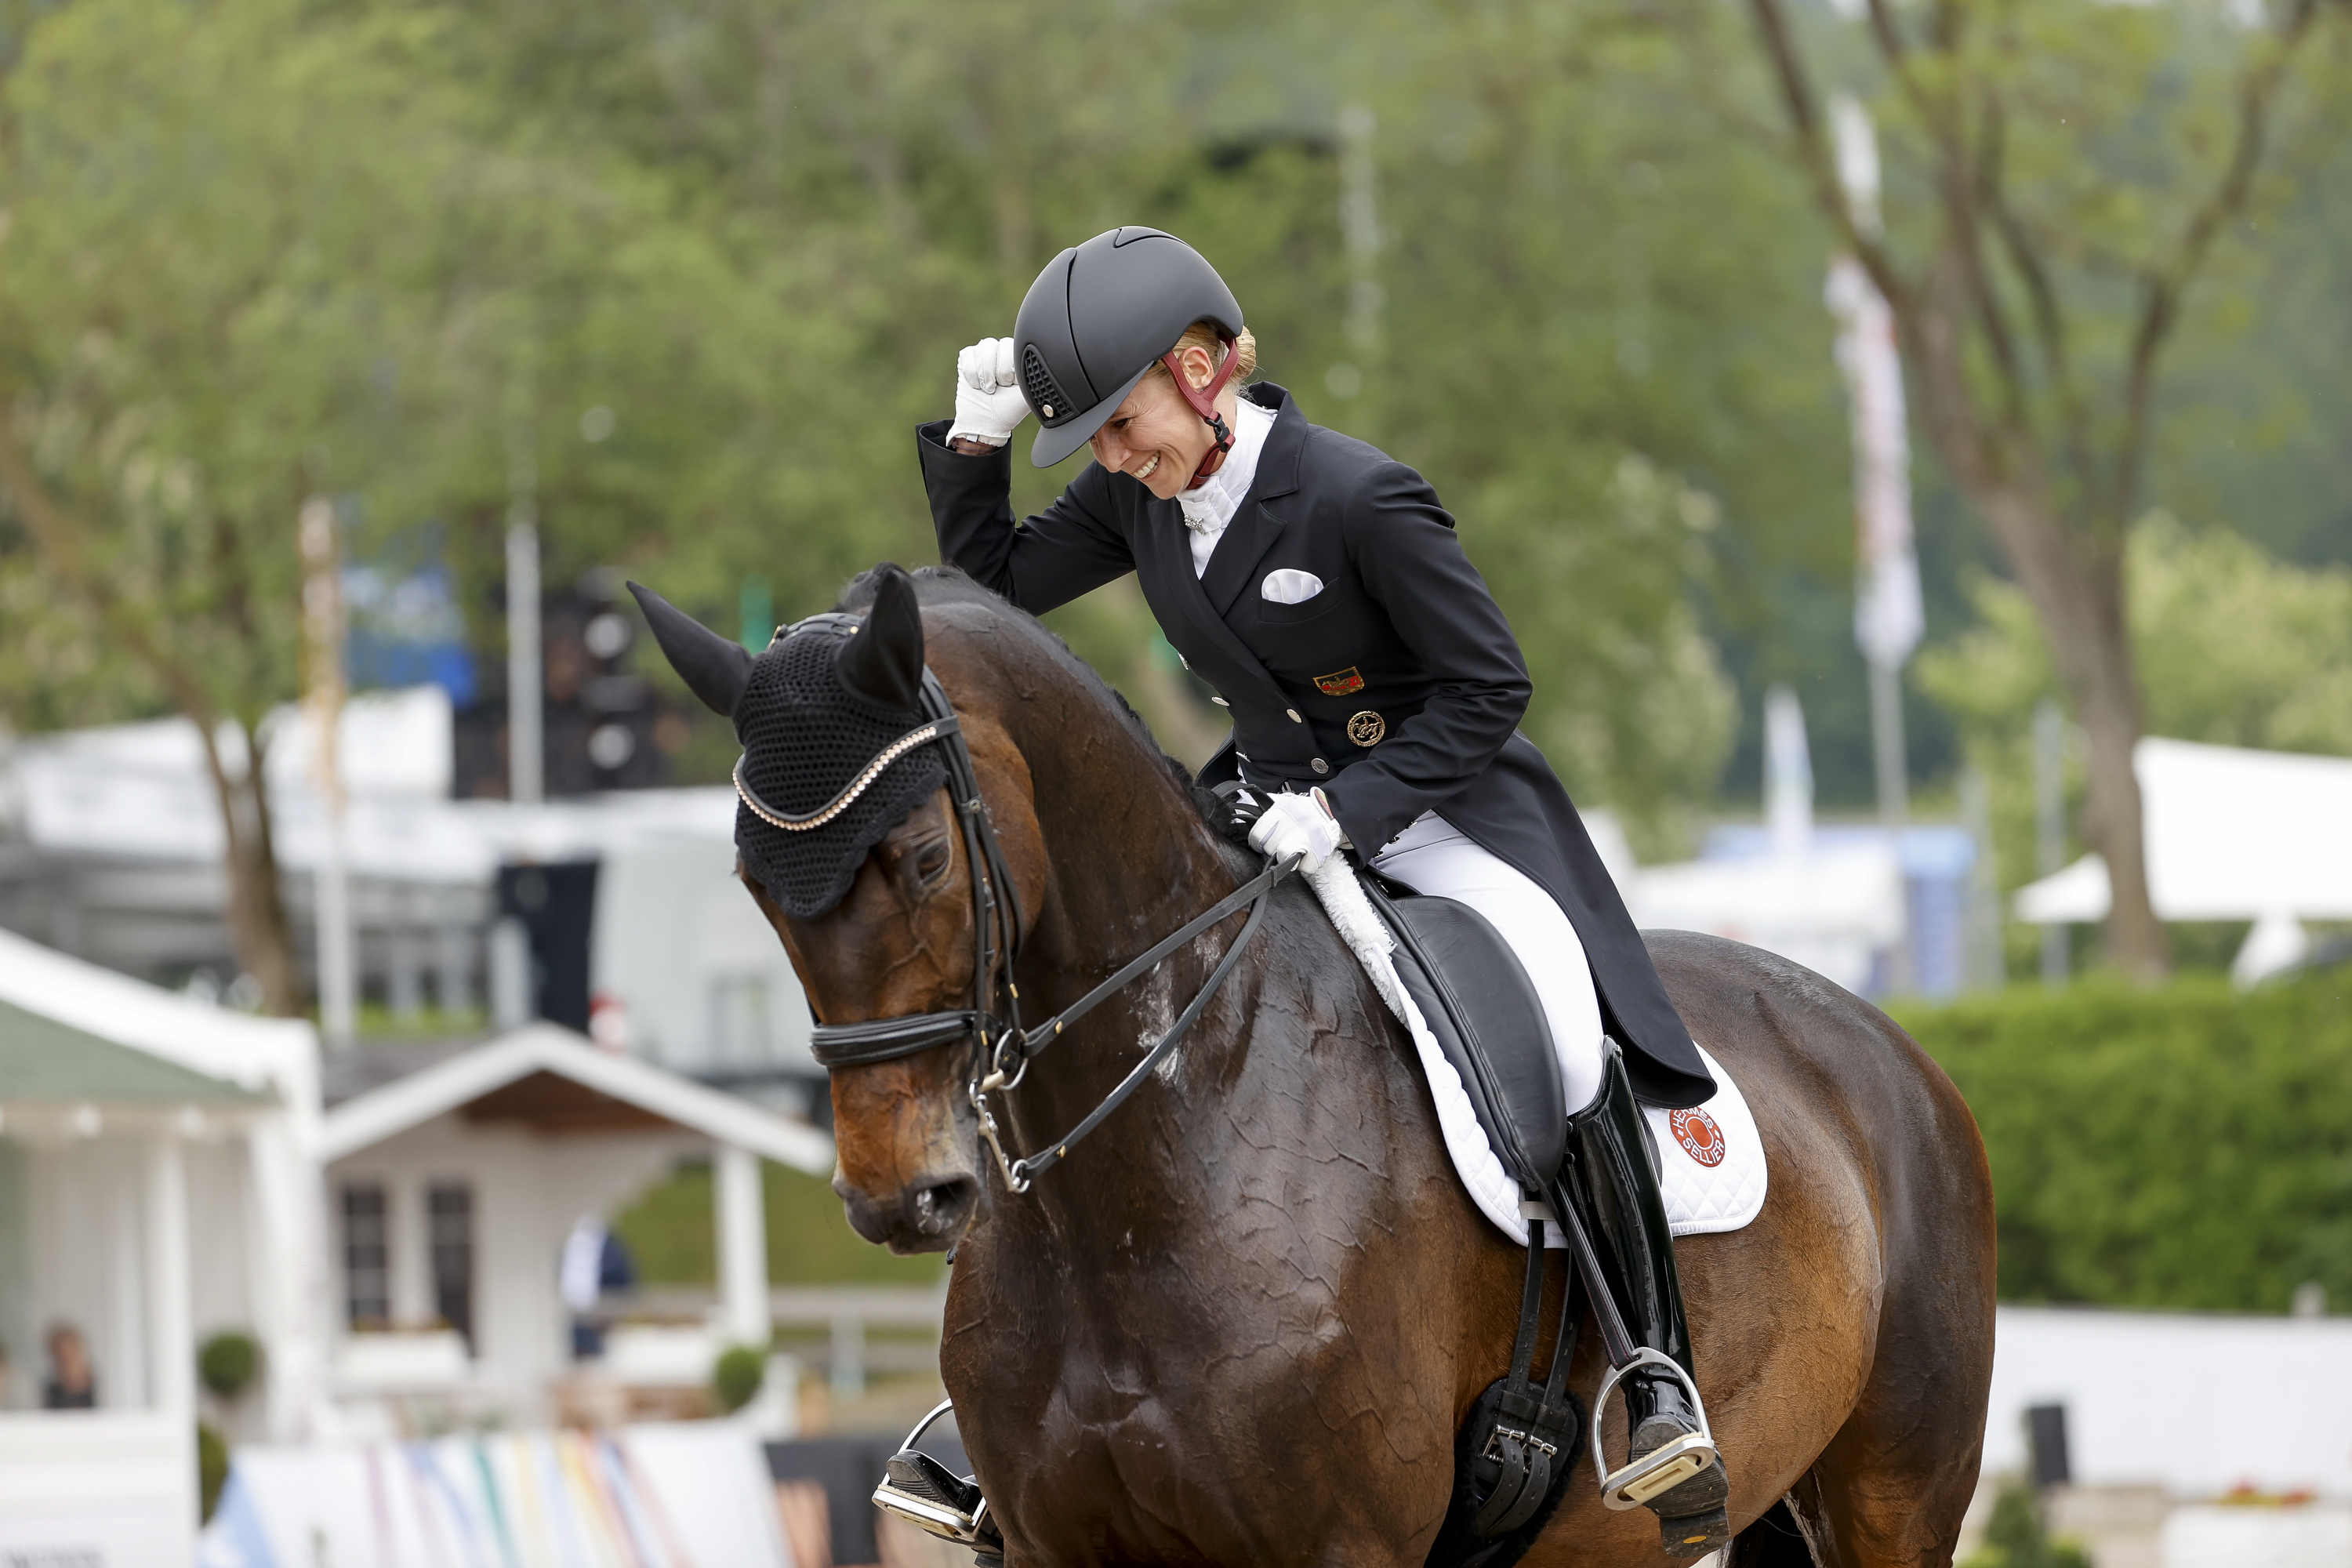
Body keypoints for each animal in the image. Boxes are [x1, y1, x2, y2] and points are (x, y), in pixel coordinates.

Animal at [654, 566, 1994, 1568]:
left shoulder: (1340, 1546)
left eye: (927, 858)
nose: (902, 1196)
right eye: (753, 884)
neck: (1144, 1187)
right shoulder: (1056, 1545)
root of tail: (1886, 1045)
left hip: (1890, 1503)